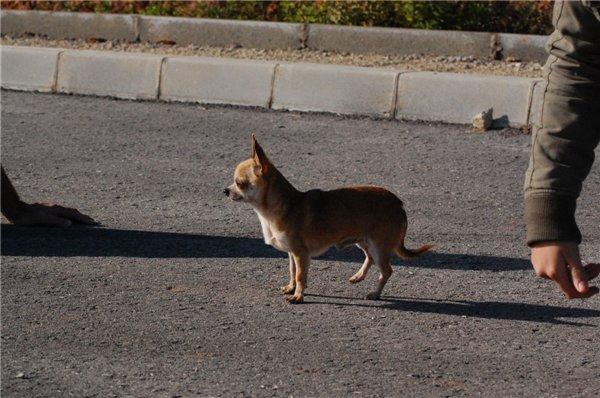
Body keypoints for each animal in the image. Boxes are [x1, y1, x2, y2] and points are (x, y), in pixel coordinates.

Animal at [225, 135, 432, 304]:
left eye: (239, 183)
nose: (225, 190)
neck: (283, 206)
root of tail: (398, 203)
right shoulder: (292, 253)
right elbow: (292, 271)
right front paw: (291, 288)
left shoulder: (301, 254)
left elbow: (300, 275)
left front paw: (298, 296)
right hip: (363, 241)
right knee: (370, 257)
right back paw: (358, 276)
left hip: (378, 245)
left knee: (386, 270)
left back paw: (375, 293)